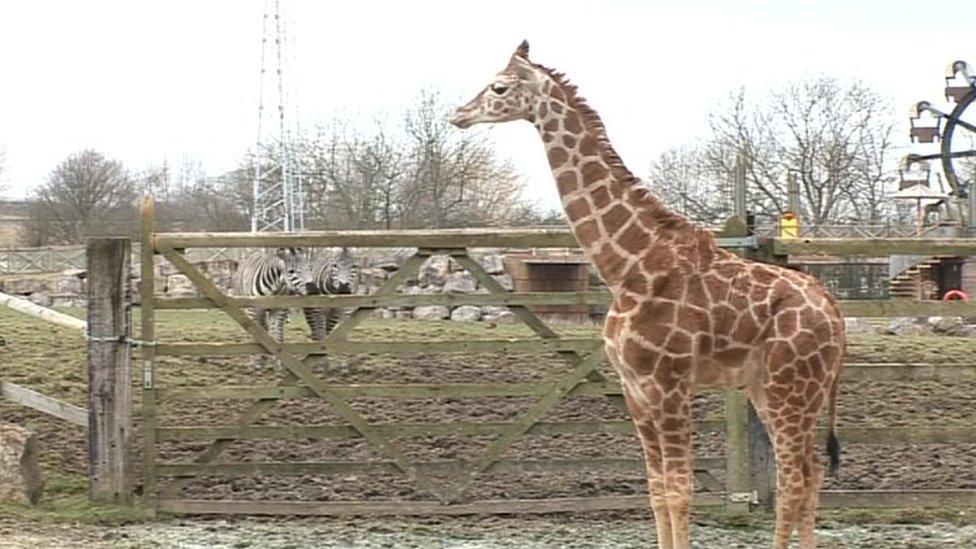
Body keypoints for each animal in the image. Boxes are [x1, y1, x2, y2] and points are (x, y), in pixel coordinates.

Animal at [454, 40, 844, 544]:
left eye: (498, 87)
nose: (459, 114)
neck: (627, 265)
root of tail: (834, 312)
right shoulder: (634, 388)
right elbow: (656, 491)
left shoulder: (670, 383)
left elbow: (680, 492)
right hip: (772, 387)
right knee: (810, 473)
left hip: (789, 387)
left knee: (794, 477)